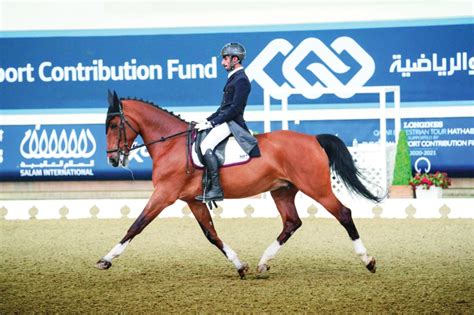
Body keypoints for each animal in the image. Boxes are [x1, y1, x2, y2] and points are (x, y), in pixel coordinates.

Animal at [96, 90, 382, 278]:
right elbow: (211, 234)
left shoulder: (164, 194)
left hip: (317, 189)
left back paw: (368, 261)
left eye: (114, 124)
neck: (172, 145)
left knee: (344, 213)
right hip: (282, 191)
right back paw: (263, 263)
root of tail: (313, 138)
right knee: (292, 223)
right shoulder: (192, 200)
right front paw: (240, 266)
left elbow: (137, 225)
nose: (112, 159)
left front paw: (106, 259)